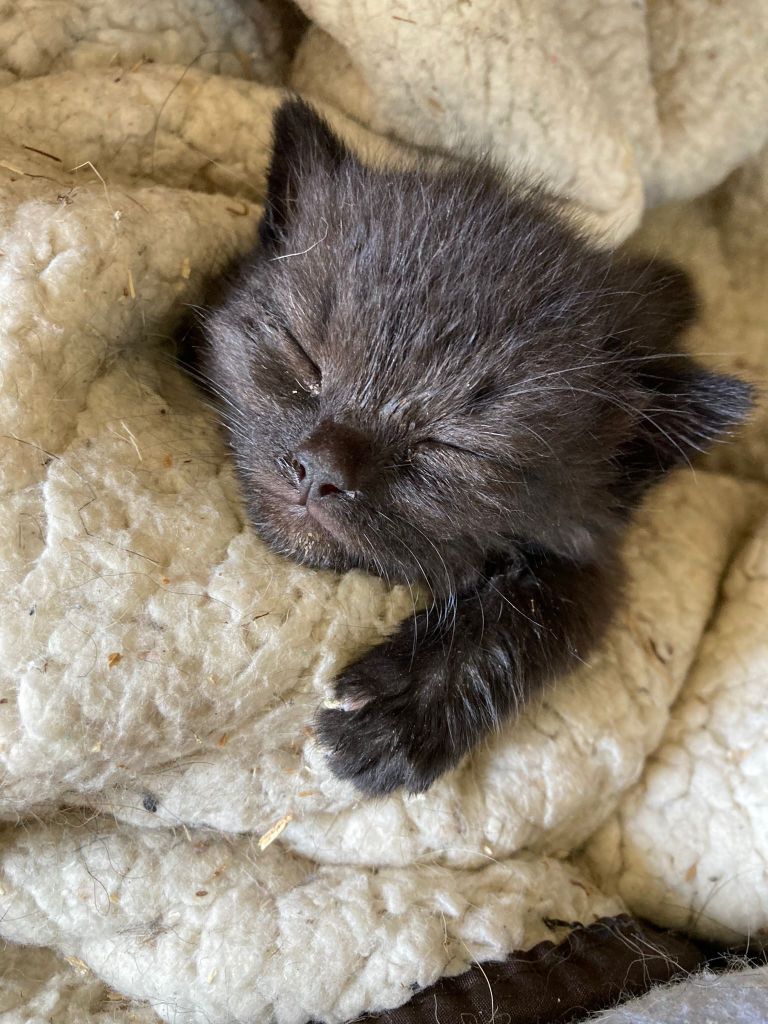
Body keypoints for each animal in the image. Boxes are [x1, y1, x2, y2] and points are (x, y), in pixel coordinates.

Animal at [189, 97, 751, 796]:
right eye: (303, 359)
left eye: (453, 447)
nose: (319, 468)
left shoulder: (597, 549)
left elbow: (549, 613)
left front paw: (399, 712)